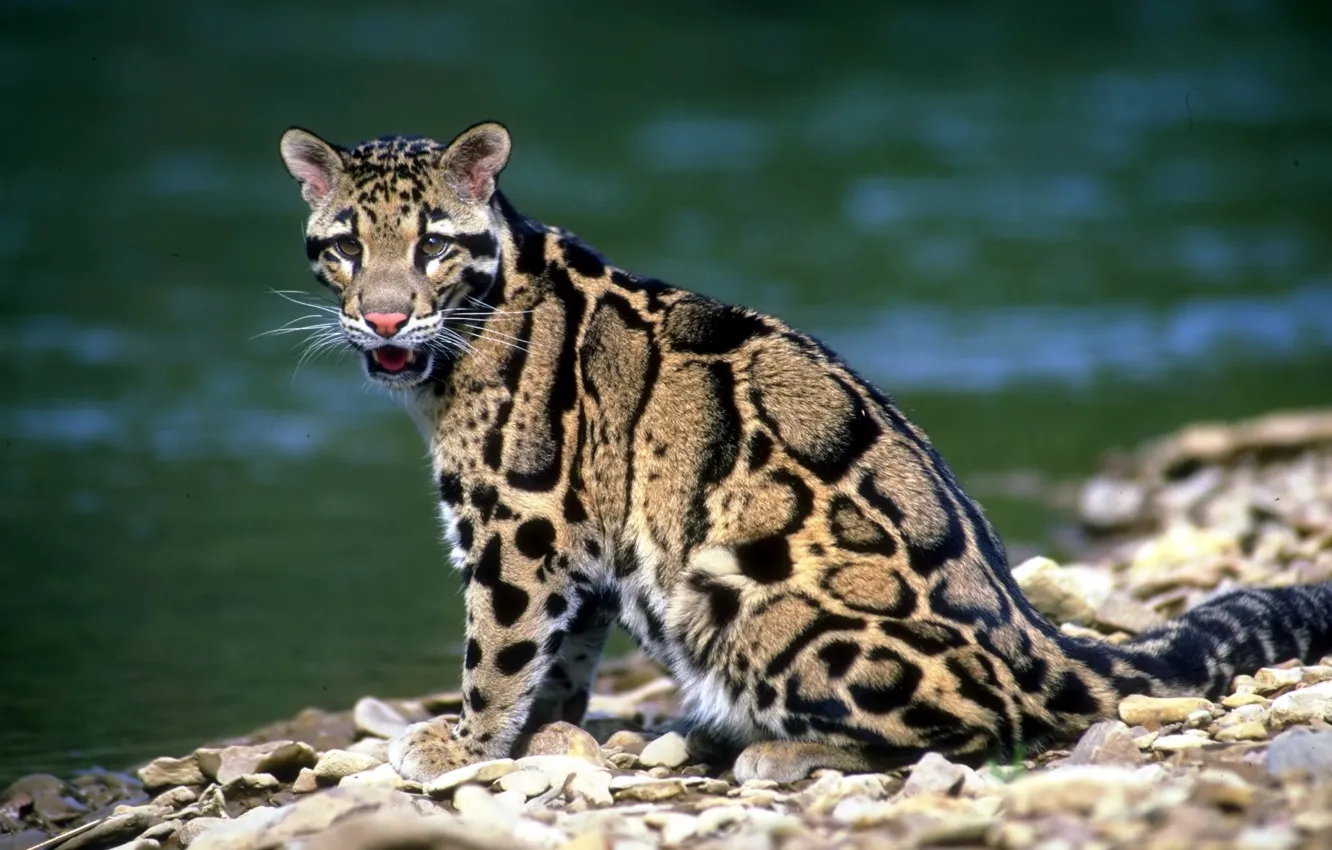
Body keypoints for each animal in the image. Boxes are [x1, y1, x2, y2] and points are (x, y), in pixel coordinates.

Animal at [277, 120, 1332, 784]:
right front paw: (546, 734)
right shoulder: (579, 538)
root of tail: (1038, 640)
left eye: (432, 244)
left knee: (992, 728)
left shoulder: (523, 520)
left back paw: (771, 747)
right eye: (344, 246)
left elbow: (498, 645)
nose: (383, 315)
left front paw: (464, 746)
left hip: (747, 595)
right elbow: (563, 652)